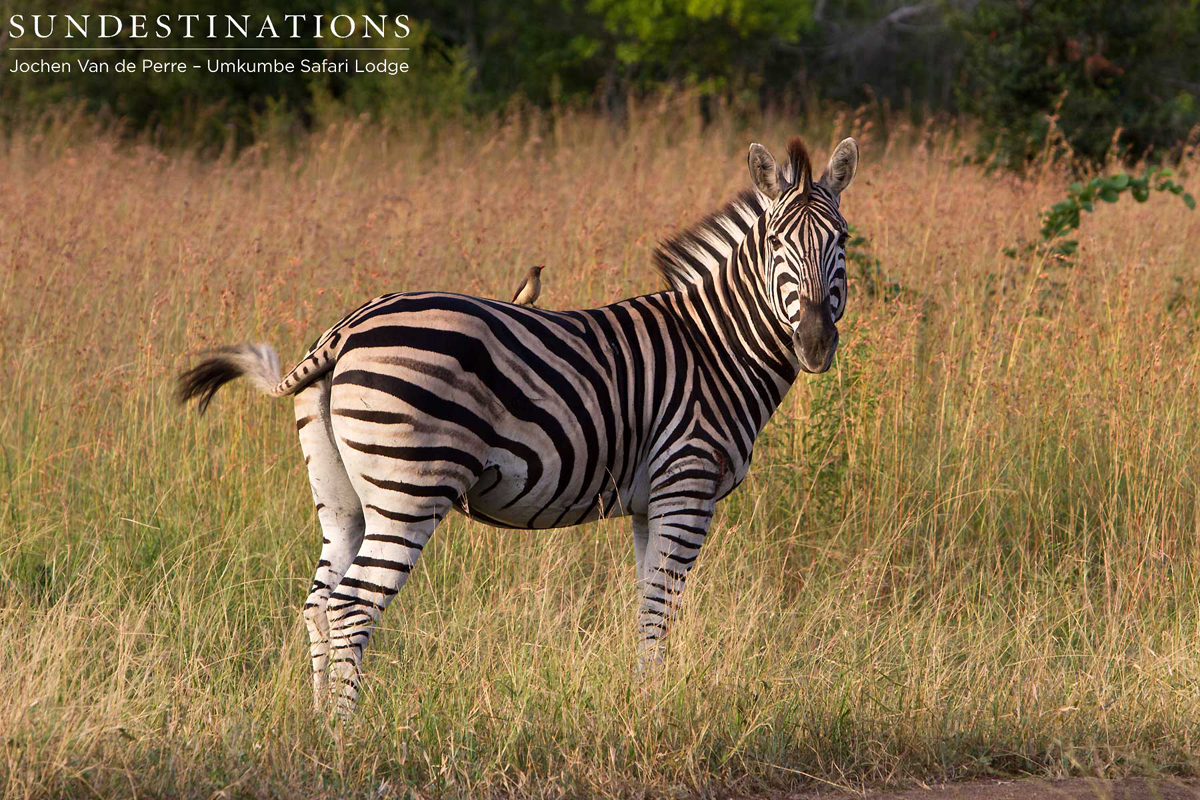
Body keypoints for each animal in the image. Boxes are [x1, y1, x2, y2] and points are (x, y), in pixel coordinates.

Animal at [178, 135, 859, 715]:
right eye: (776, 245)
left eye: (843, 242)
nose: (816, 344)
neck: (715, 347)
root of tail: (344, 330)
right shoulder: (687, 485)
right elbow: (659, 610)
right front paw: (653, 710)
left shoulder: (650, 502)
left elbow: (646, 604)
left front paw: (641, 701)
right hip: (409, 489)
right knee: (351, 608)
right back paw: (349, 735)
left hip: (342, 497)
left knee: (320, 604)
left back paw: (318, 724)